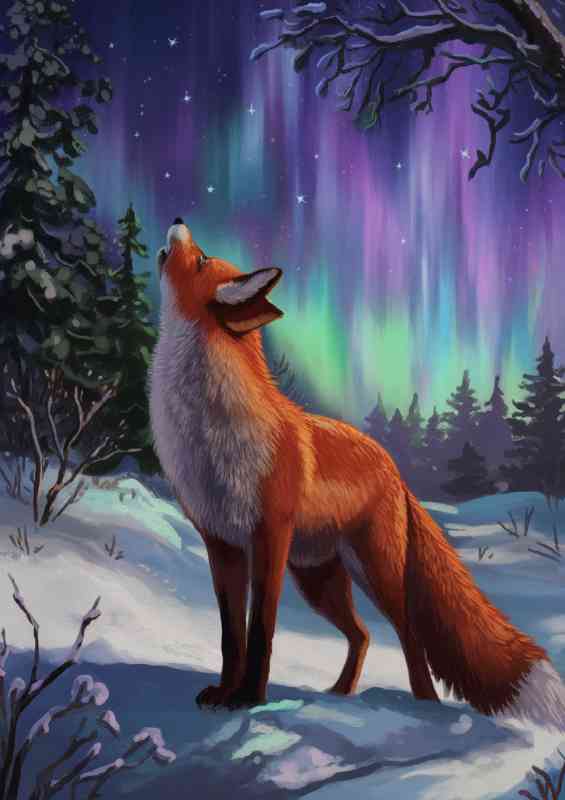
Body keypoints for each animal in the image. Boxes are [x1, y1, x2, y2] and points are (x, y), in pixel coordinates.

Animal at [149, 218, 565, 727]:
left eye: (202, 258)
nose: (177, 219)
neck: (207, 432)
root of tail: (394, 468)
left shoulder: (268, 537)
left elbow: (261, 631)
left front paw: (249, 698)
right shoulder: (221, 542)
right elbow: (232, 637)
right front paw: (226, 693)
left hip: (375, 569)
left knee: (409, 634)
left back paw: (425, 706)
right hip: (318, 579)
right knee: (363, 634)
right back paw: (342, 693)